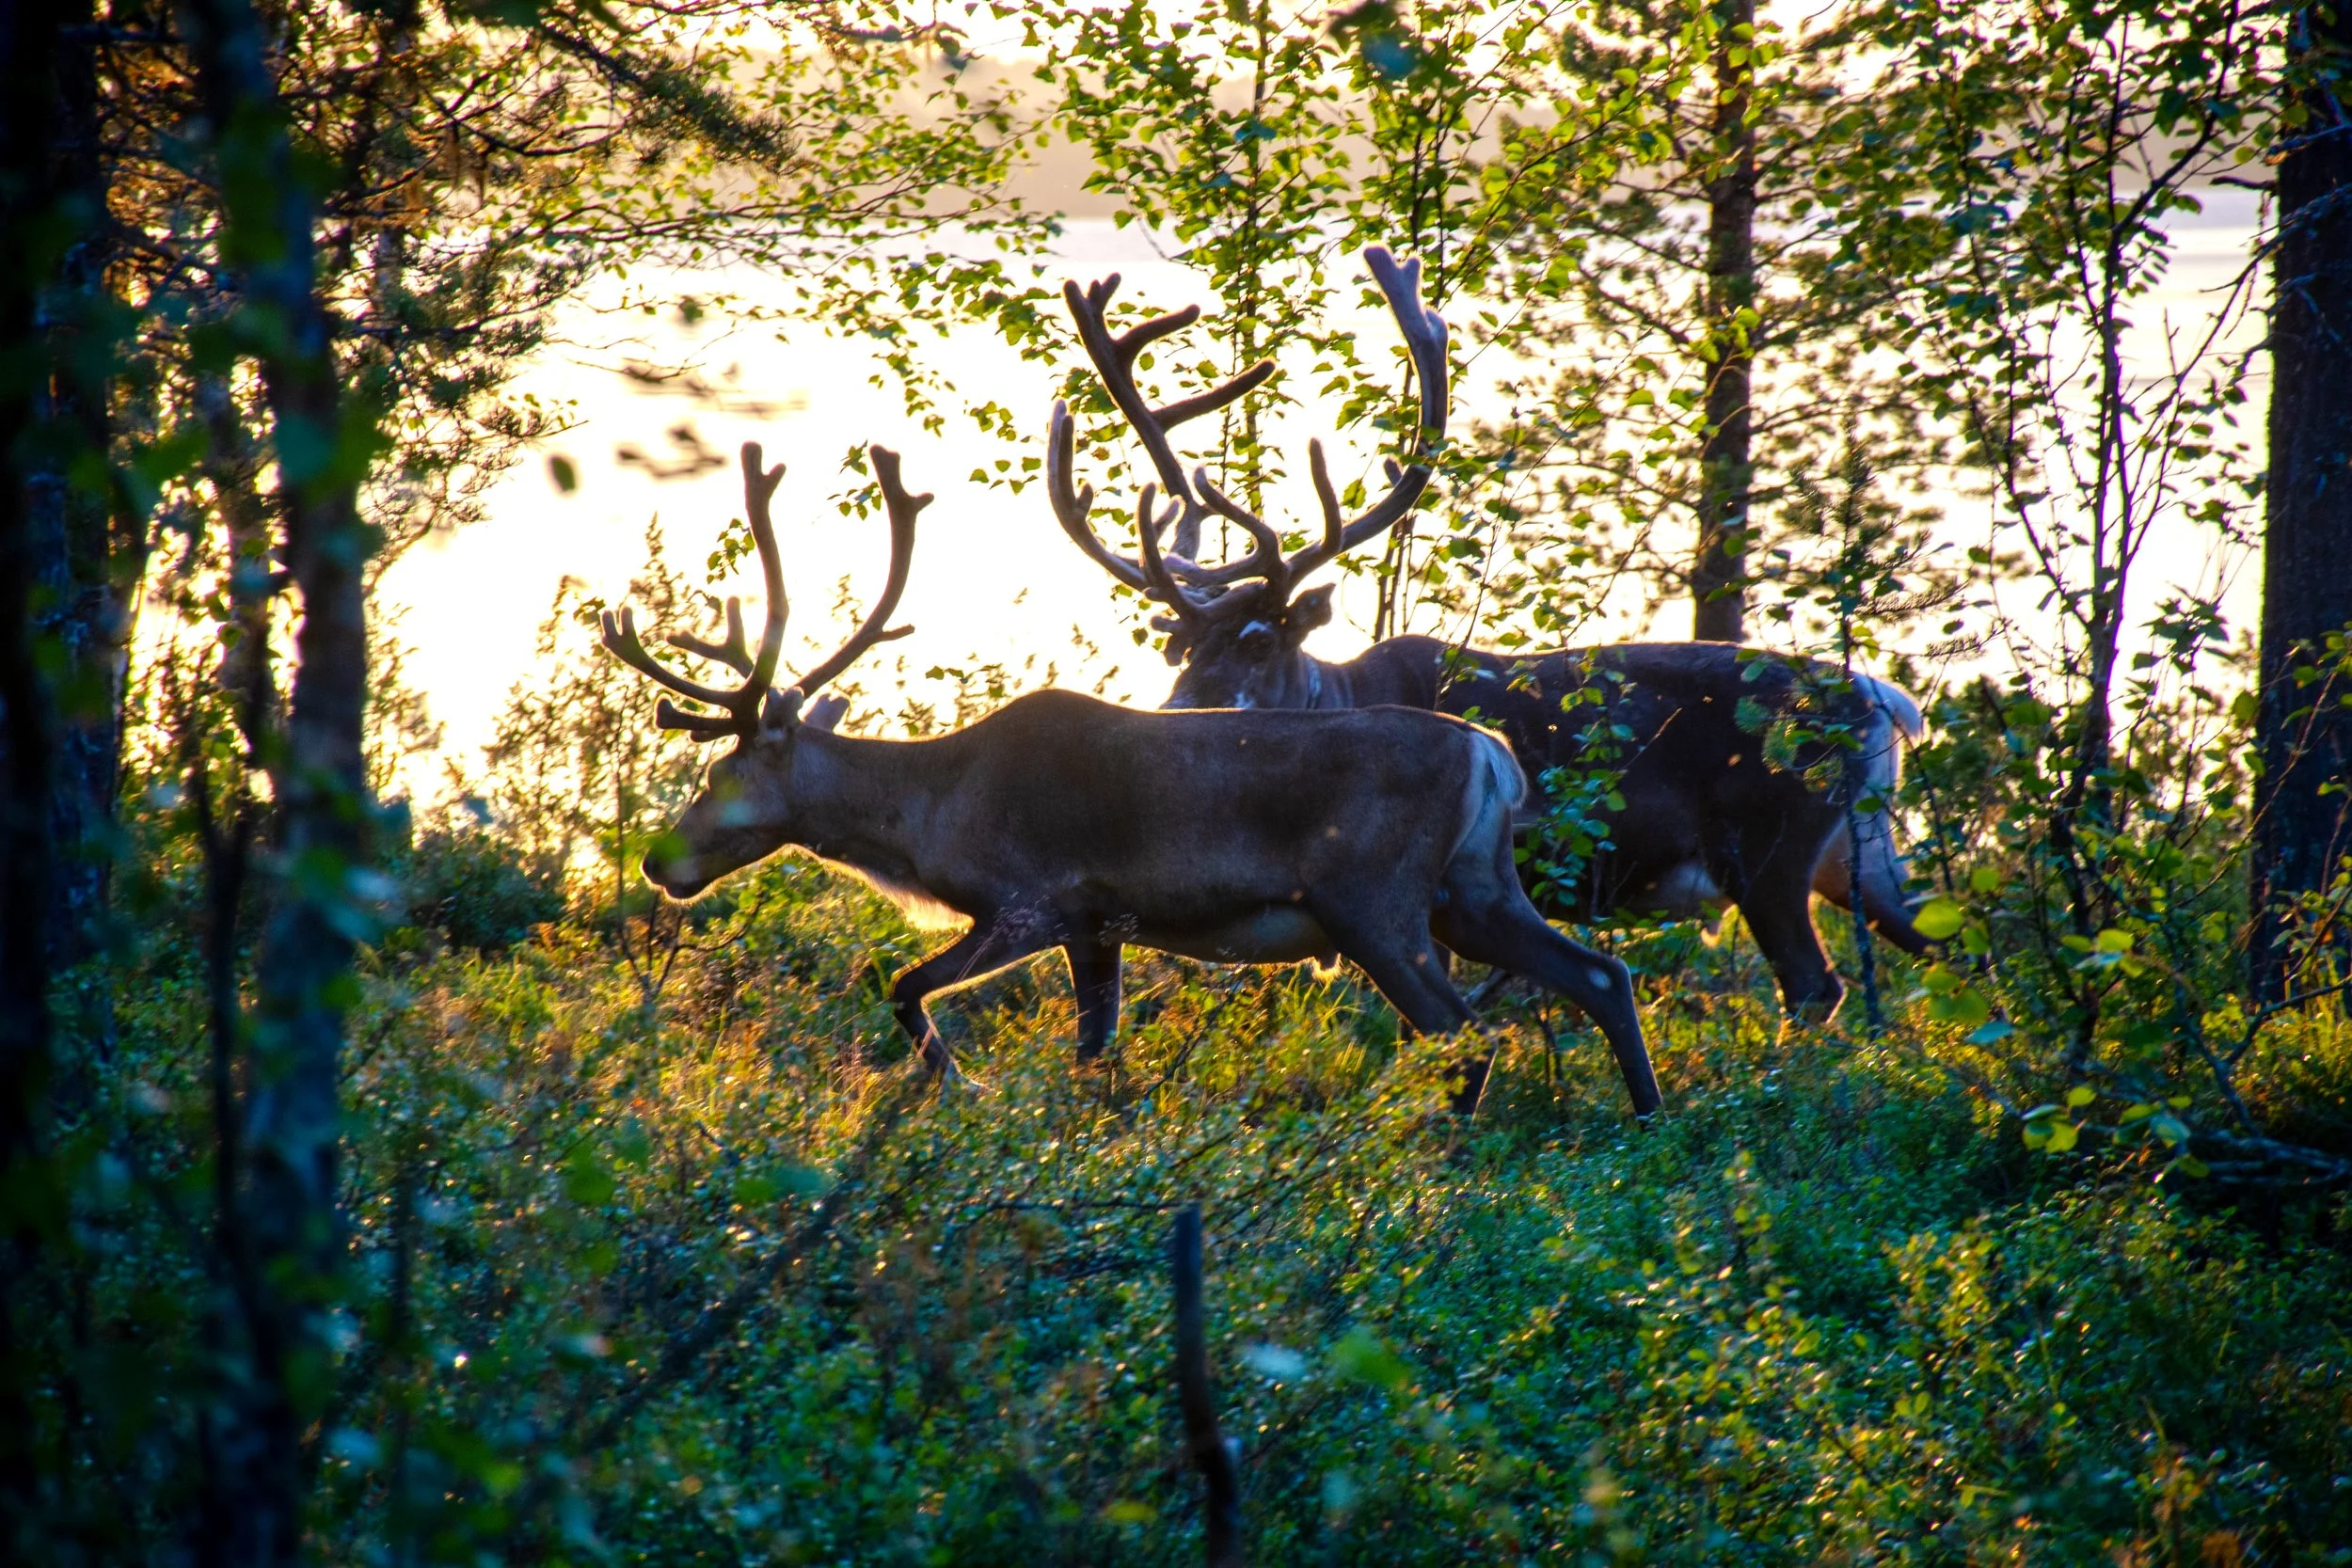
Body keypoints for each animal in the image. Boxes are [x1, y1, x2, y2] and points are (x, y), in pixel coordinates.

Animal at [598, 439, 1664, 1119]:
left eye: (721, 769)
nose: (657, 861)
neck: (929, 811)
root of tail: (1491, 754)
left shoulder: (1032, 900)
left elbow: (900, 984)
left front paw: (970, 1088)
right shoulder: (1098, 926)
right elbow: (1091, 1048)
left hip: (1377, 902)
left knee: (1465, 1030)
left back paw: (1446, 1145)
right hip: (1474, 889)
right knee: (1599, 974)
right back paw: (1647, 1125)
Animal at [1047, 246, 1931, 1024]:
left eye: (1261, 640)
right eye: (1181, 648)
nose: (1173, 716)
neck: (1336, 690)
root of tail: (1884, 699)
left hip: (1771, 849)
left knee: (1814, 984)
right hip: (1861, 854)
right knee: (1946, 939)